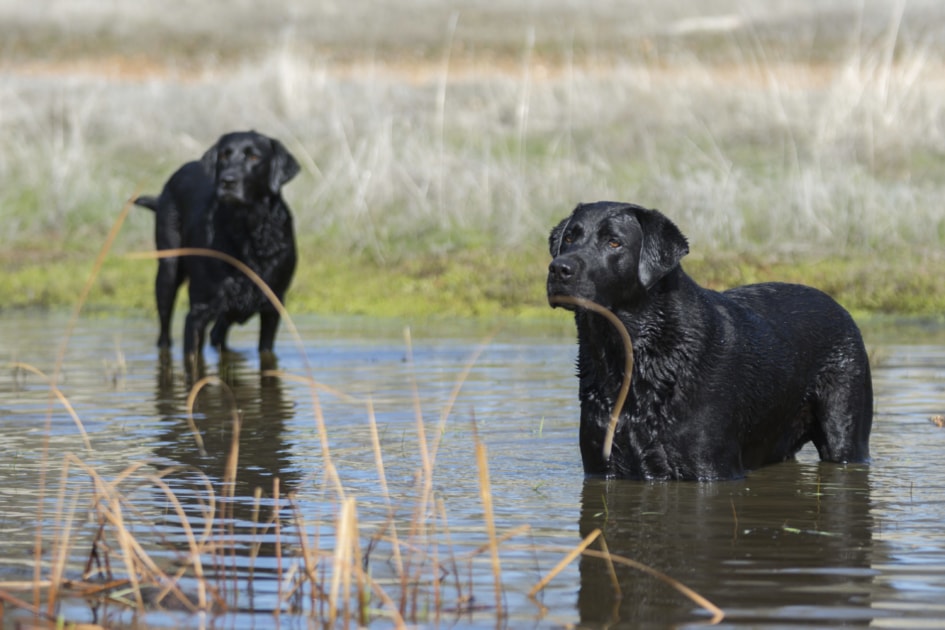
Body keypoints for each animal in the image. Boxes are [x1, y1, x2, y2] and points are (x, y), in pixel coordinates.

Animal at [135, 132, 298, 366]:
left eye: (254, 157)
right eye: (223, 155)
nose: (227, 181)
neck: (246, 232)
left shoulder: (272, 307)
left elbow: (266, 352)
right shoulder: (197, 313)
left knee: (218, 334)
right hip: (168, 272)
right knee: (165, 334)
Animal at [544, 202, 872, 478]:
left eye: (614, 242)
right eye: (570, 238)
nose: (559, 268)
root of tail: (840, 308)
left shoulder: (711, 467)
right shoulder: (600, 466)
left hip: (845, 431)